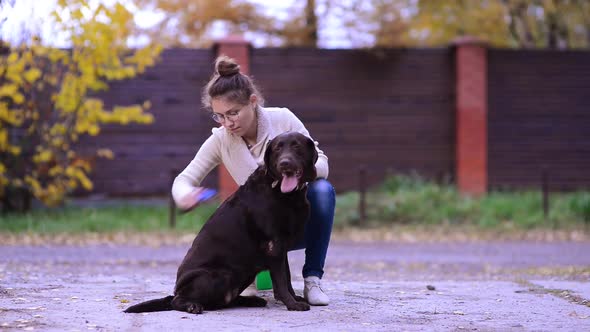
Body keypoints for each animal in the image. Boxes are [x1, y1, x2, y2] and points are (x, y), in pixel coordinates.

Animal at [124, 132, 320, 314]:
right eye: (278, 149)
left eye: (296, 146)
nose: (284, 163)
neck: (283, 192)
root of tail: (177, 290)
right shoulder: (274, 245)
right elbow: (281, 280)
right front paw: (292, 304)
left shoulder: (281, 246)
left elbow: (287, 276)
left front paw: (294, 298)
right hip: (219, 275)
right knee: (178, 301)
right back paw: (192, 306)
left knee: (226, 300)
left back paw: (252, 300)